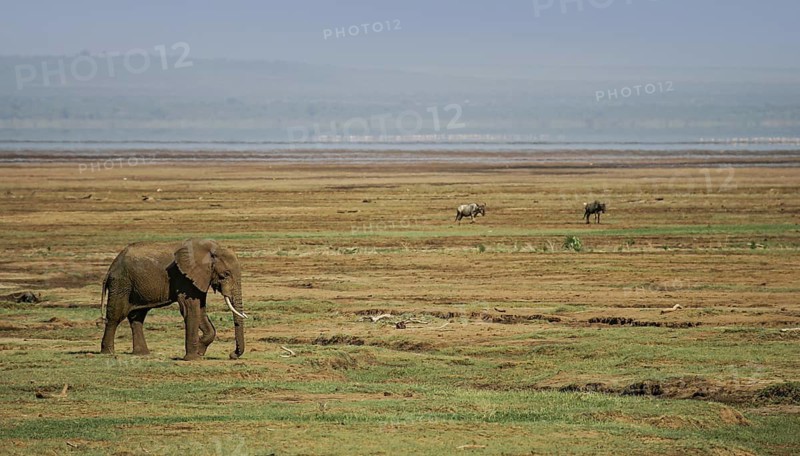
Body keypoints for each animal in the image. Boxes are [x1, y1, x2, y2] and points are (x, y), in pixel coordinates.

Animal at [99, 238, 247, 361]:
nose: (232, 355)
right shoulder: (184, 277)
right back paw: (108, 352)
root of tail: (111, 267)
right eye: (225, 275)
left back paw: (142, 354)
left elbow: (200, 310)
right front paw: (193, 358)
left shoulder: (198, 278)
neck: (210, 249)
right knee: (115, 316)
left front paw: (199, 350)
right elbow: (190, 310)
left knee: (137, 317)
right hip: (121, 283)